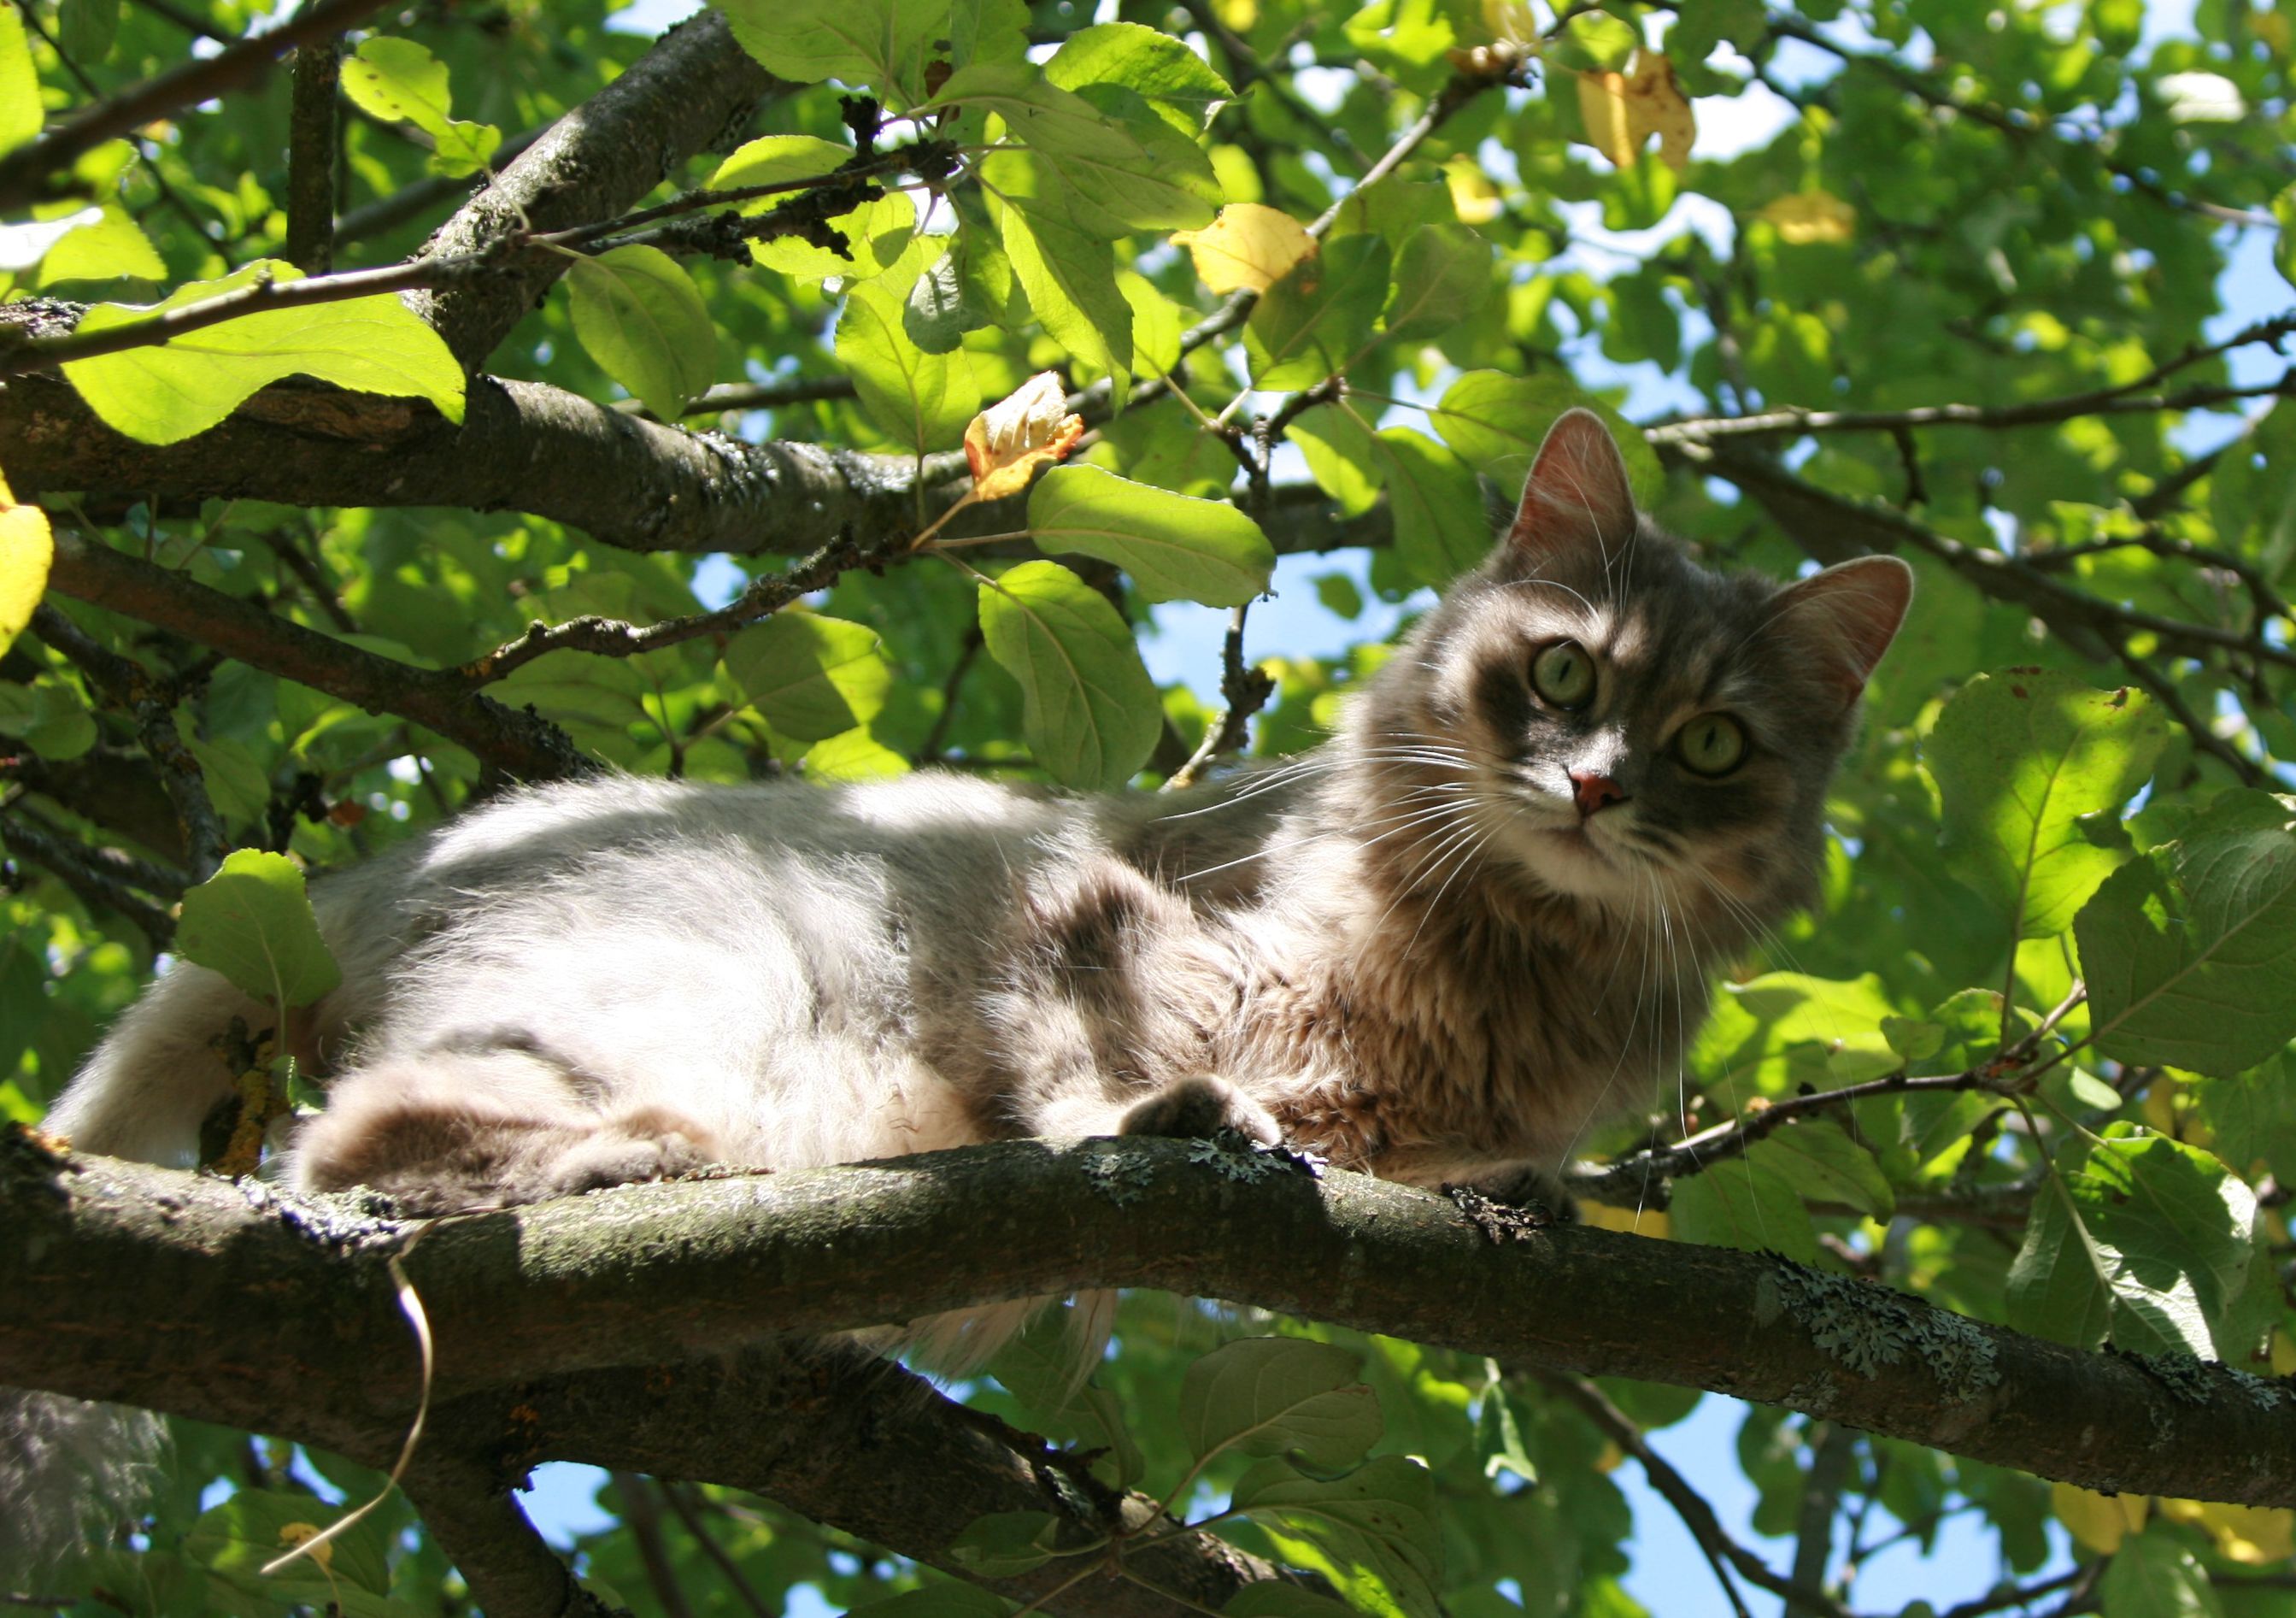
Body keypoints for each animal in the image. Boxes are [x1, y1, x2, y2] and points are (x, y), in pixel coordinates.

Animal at [4, 408, 1912, 1583]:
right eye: (1563, 675)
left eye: (1710, 746)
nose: (1591, 789)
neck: (1507, 946)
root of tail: (373, 871)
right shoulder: (1099, 916)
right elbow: (1096, 1075)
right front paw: (1163, 1119)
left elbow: (1464, 1164)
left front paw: (1528, 1189)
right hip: (701, 965)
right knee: (348, 1147)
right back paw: (637, 1168)